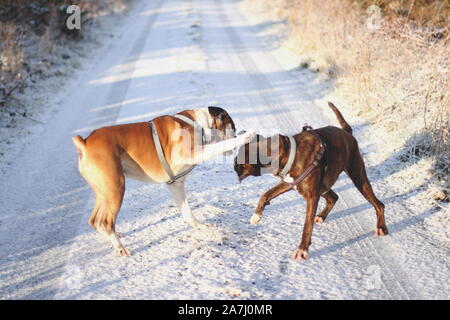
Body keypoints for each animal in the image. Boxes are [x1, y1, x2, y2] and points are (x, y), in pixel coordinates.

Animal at [72, 107, 255, 255]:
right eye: (233, 127)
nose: (238, 132)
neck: (198, 124)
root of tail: (85, 143)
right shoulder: (193, 153)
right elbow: (218, 146)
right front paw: (245, 136)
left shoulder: (176, 185)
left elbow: (187, 211)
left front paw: (198, 226)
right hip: (115, 188)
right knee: (106, 221)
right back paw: (119, 247)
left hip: (104, 192)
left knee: (95, 220)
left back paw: (115, 236)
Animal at [236, 102, 386, 260]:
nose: (234, 164)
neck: (289, 152)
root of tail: (348, 133)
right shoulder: (290, 183)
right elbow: (266, 194)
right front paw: (256, 216)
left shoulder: (312, 196)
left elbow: (307, 225)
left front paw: (302, 250)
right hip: (324, 185)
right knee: (334, 197)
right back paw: (321, 216)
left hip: (358, 178)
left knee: (379, 205)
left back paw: (381, 227)